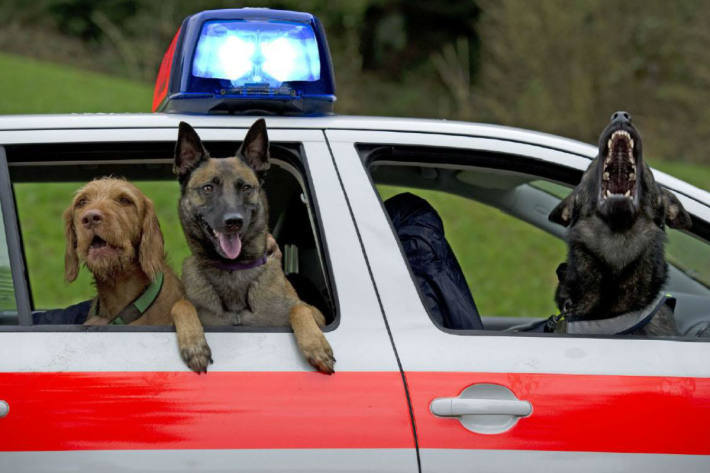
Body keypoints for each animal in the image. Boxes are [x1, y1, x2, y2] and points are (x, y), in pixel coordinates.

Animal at [175, 118, 336, 372]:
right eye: (208, 188)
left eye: (245, 187)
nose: (233, 222)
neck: (232, 270)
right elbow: (181, 304)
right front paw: (195, 345)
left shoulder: (315, 314)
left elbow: (299, 307)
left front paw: (316, 345)